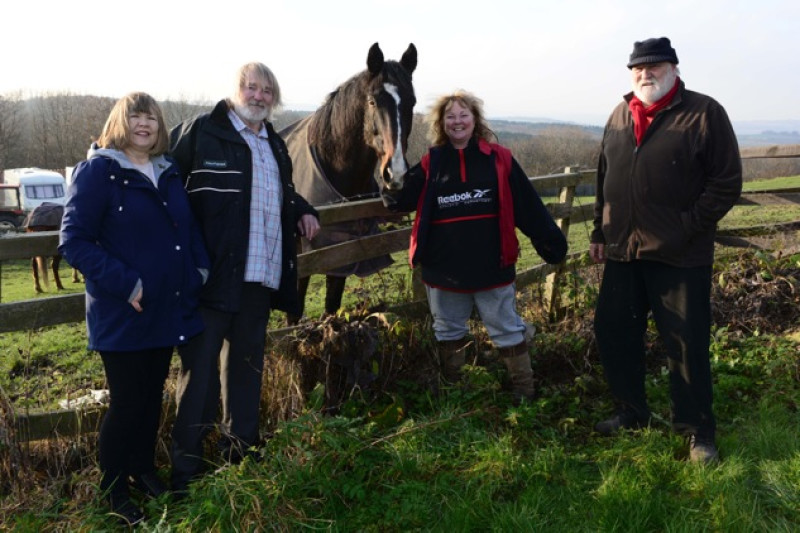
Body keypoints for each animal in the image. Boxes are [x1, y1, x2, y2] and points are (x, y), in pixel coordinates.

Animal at [282, 41, 418, 322]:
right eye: (372, 100)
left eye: (412, 102)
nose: (396, 174)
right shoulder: (305, 257)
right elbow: (295, 311)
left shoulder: (343, 254)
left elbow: (332, 304)